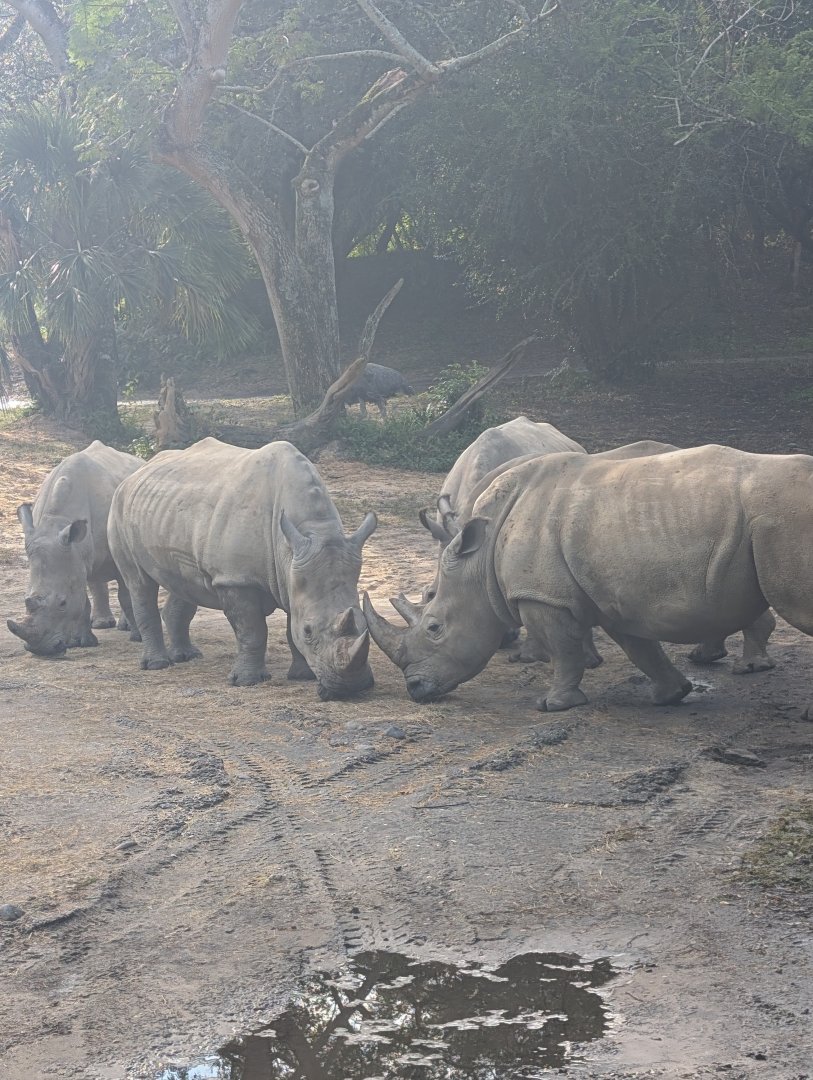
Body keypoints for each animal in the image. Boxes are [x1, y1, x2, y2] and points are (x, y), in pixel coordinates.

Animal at [7, 440, 141, 657]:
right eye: (25, 599)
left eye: (62, 603)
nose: (40, 650)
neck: (56, 522)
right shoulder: (73, 557)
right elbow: (82, 600)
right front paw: (82, 642)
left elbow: (126, 594)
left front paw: (138, 638)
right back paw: (102, 625)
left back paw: (126, 628)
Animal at [107, 437, 377, 697]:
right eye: (309, 631)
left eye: (366, 624)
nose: (351, 687)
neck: (313, 532)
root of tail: (136, 471)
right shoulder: (236, 578)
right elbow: (252, 630)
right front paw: (247, 681)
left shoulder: (293, 573)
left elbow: (291, 625)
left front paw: (303, 676)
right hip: (118, 509)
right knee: (139, 583)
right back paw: (157, 665)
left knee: (182, 582)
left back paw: (187, 656)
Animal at [365, 445, 787, 712]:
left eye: (434, 627)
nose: (415, 689)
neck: (479, 561)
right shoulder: (603, 594)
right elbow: (640, 648)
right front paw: (671, 694)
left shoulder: (539, 593)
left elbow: (562, 649)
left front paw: (553, 703)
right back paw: (716, 659)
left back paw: (744, 667)